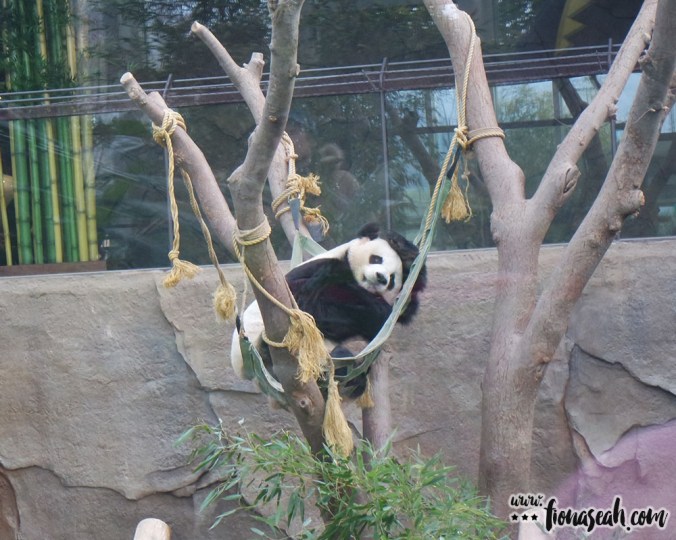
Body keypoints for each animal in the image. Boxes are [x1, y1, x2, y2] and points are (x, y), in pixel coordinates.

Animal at [230, 223, 427, 398]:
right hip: (273, 346)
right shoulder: (311, 274)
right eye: (377, 259)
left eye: (392, 279)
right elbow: (305, 301)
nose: (381, 278)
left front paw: (408, 257)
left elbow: (401, 309)